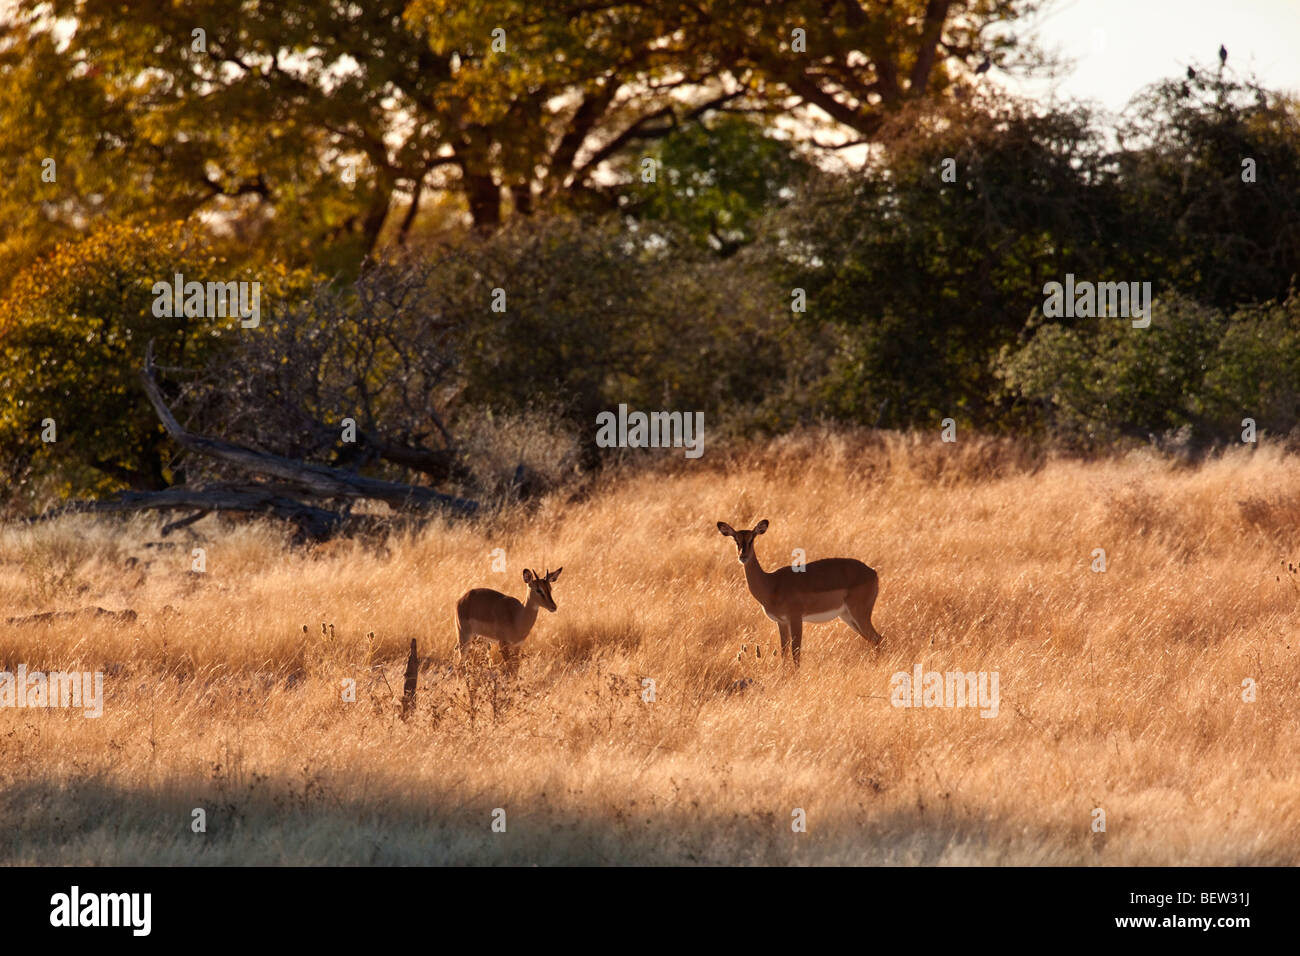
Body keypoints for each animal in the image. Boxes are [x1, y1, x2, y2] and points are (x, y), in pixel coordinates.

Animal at [712, 520, 883, 671]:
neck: (771, 584)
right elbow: (784, 653)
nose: (743, 556)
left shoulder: (795, 618)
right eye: (735, 539)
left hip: (859, 614)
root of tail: (873, 572)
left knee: (877, 639)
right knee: (875, 640)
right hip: (847, 617)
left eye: (752, 538)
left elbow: (796, 653)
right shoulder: (781, 622)